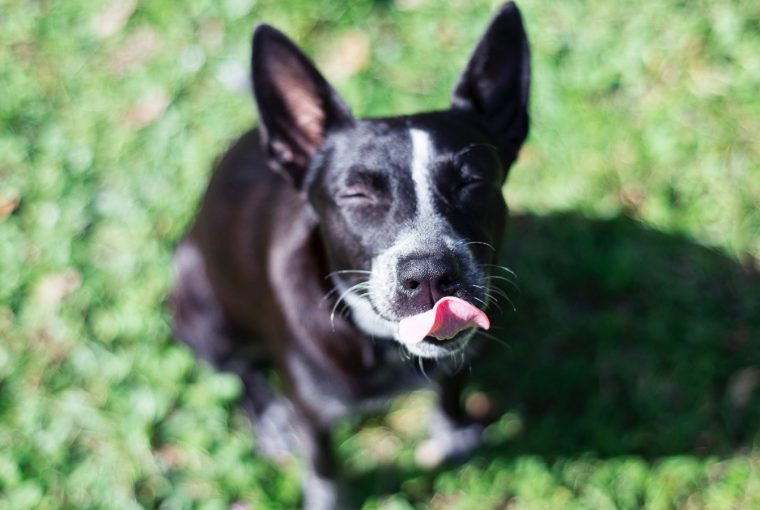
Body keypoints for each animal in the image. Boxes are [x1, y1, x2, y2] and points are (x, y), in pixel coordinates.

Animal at [171, 2, 528, 506]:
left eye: (472, 181)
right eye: (357, 194)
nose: (430, 274)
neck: (383, 344)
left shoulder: (461, 350)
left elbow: (451, 386)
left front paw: (455, 433)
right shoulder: (312, 413)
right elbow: (323, 468)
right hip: (198, 301)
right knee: (235, 366)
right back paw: (268, 418)